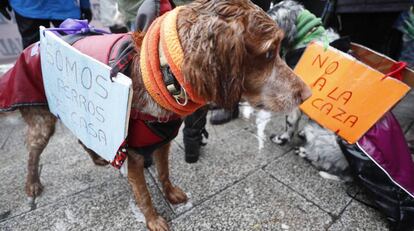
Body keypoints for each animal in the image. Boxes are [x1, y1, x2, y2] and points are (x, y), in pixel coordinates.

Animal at [16, 0, 310, 230]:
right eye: (269, 52)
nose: (307, 94)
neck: (161, 77)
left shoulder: (162, 142)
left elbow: (164, 173)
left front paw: (171, 194)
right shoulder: (133, 156)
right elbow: (144, 193)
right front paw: (154, 219)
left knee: (82, 138)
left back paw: (97, 158)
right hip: (43, 120)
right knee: (32, 152)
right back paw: (32, 186)